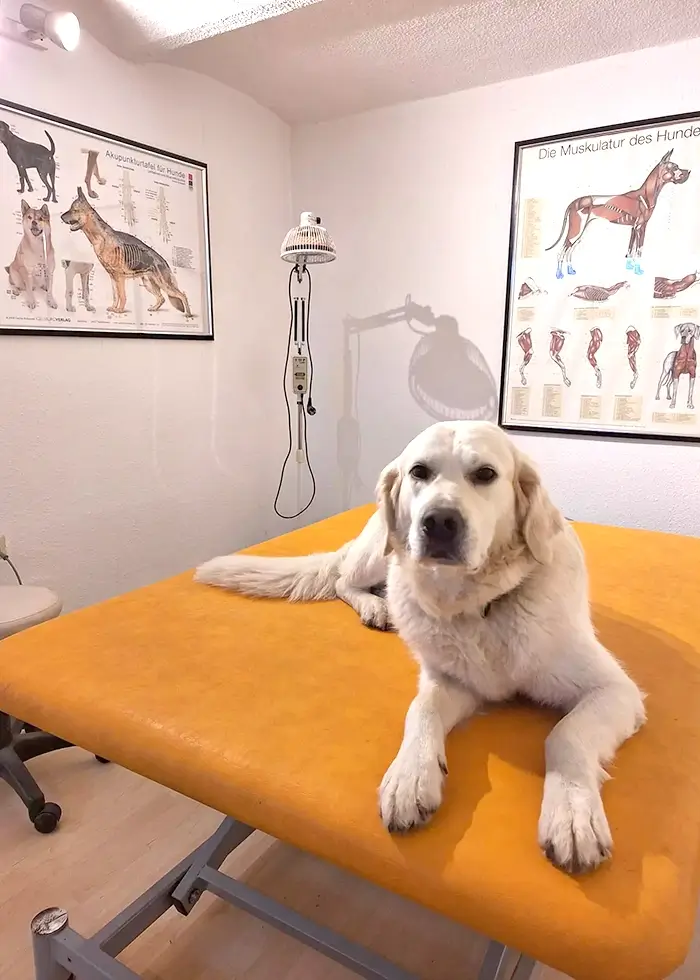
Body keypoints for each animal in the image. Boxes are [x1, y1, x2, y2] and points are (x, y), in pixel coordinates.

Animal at [197, 420, 644, 872]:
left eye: (485, 474)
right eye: (419, 472)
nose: (439, 521)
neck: (477, 605)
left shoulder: (615, 690)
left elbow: (565, 734)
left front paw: (571, 812)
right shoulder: (449, 678)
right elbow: (421, 710)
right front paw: (410, 776)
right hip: (380, 553)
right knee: (343, 580)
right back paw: (375, 606)